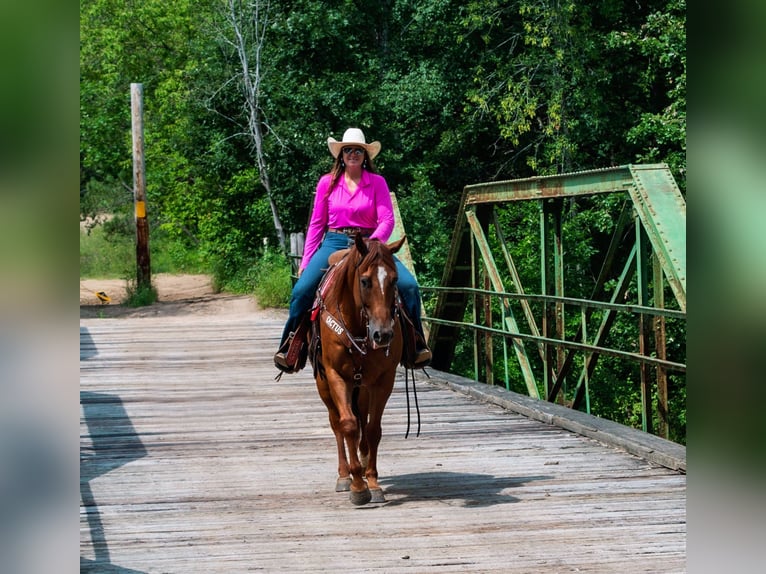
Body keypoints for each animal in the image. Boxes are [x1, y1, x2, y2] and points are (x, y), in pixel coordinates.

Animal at [308, 234, 408, 508]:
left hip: (361, 386)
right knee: (336, 423)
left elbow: (372, 429)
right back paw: (344, 475)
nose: (383, 334)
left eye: (394, 280)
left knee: (362, 418)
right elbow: (348, 425)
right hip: (324, 384)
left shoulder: (383, 380)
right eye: (365, 281)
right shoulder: (335, 376)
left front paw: (371, 482)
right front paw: (357, 486)